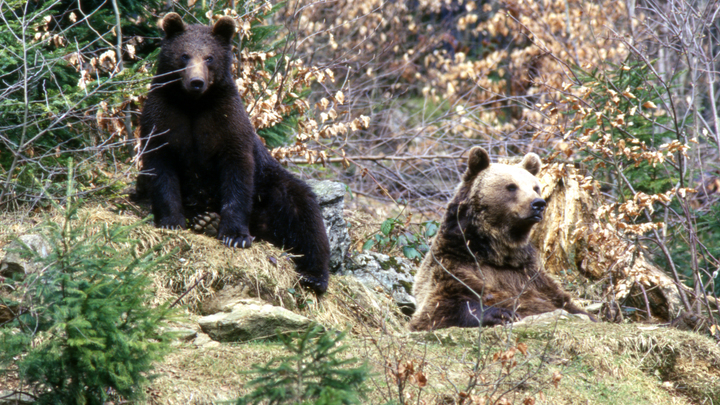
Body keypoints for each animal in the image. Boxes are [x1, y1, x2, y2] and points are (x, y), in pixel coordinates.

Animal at [137, 12, 330, 294]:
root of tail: (264, 231)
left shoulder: (227, 122)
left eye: (209, 57)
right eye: (184, 55)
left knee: (304, 214)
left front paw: (234, 236)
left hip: (272, 186)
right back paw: (205, 220)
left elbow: (237, 171)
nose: (196, 82)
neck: (193, 104)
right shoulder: (162, 118)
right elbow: (161, 168)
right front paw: (171, 220)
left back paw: (313, 275)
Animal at [408, 147, 592, 330]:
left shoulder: (532, 275)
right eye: (511, 187)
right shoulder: (453, 264)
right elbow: (439, 307)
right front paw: (502, 314)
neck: (497, 253)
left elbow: (565, 302)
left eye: (535, 187)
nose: (538, 204)